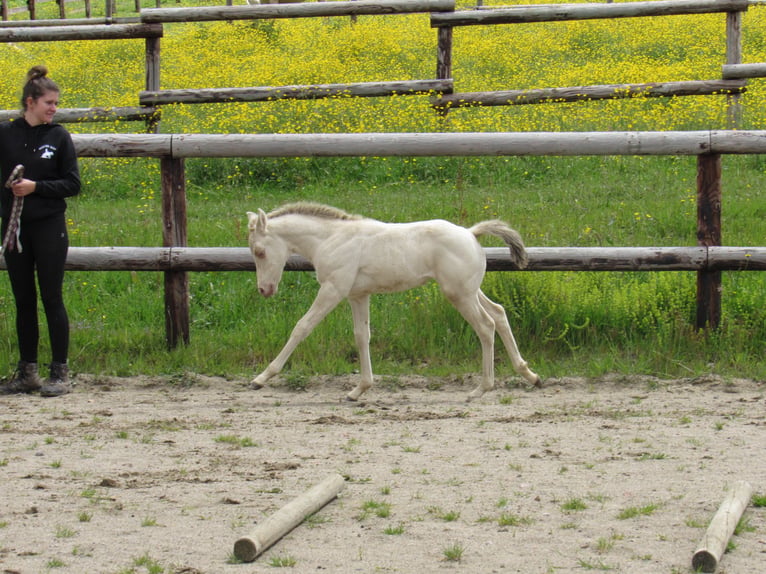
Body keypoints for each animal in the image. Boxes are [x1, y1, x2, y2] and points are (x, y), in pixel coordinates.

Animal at [246, 202, 541, 401]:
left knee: (486, 326)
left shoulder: (333, 290)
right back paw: (530, 375)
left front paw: (261, 378)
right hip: (469, 290)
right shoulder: (357, 295)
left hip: (459, 294)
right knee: (499, 314)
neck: (331, 239)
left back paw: (480, 389)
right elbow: (361, 336)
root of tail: (471, 233)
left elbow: (302, 327)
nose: (264, 289)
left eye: (259, 251)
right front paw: (358, 390)